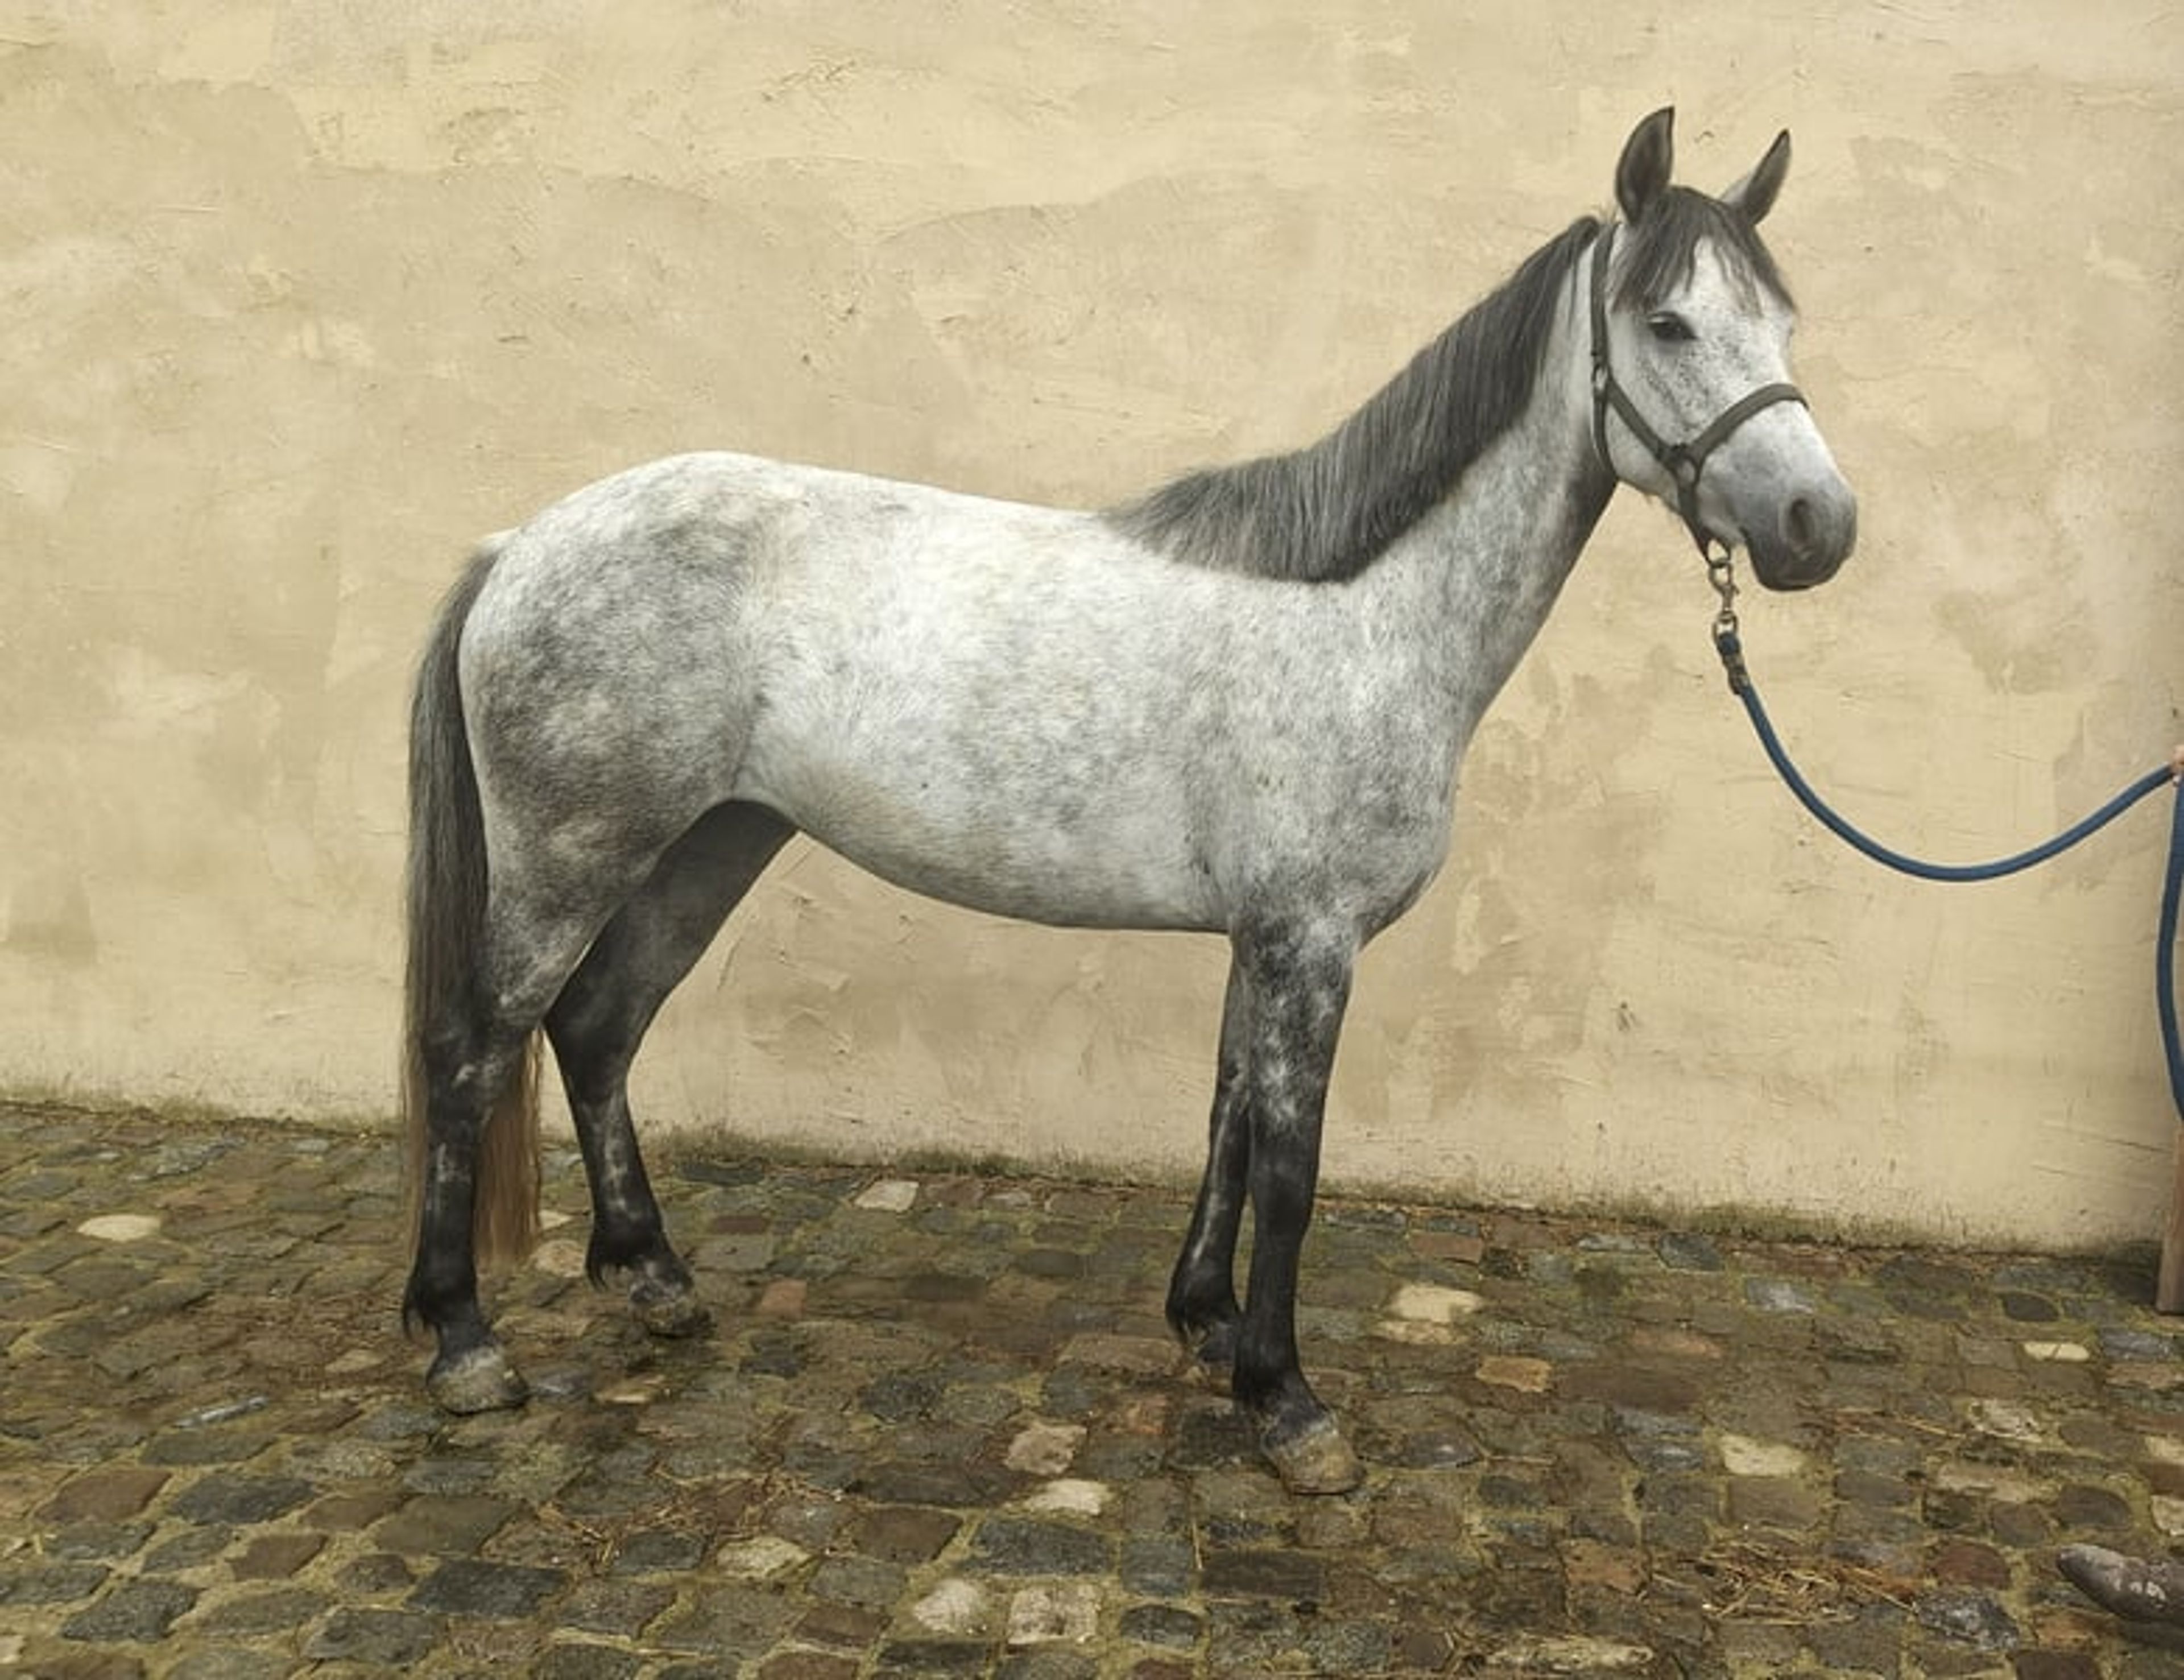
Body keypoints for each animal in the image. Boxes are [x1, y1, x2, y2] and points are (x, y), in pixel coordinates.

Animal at [400, 108, 1856, 1494]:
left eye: (1782, 320)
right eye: (1665, 321)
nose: (1817, 527)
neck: (1366, 616)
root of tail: (517, 548)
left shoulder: (1260, 939)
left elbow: (1228, 1124)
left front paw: (1208, 1325)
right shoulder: (1311, 941)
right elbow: (1292, 1165)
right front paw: (1290, 1405)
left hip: (708, 845)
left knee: (598, 1030)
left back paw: (653, 1280)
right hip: (570, 861)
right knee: (473, 1053)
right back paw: (464, 1344)